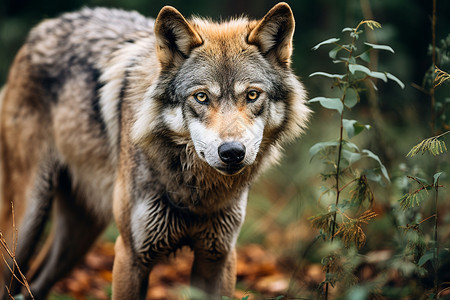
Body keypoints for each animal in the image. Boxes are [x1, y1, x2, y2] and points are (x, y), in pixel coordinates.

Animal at [0, 2, 310, 300]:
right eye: (201, 97)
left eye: (252, 95)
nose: (232, 152)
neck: (194, 193)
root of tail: (42, 28)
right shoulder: (131, 255)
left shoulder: (218, 257)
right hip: (28, 220)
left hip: (78, 235)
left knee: (35, 283)